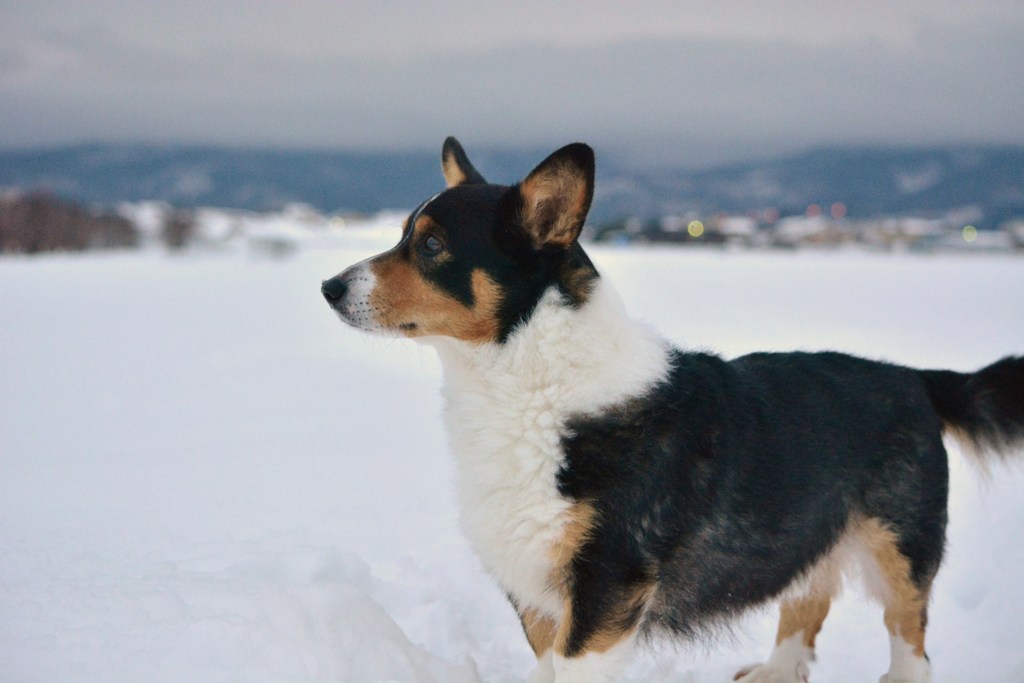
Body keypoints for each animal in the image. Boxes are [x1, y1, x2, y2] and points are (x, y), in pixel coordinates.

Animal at [319, 139, 1024, 683]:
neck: (524, 379)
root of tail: (915, 378)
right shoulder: (537, 592)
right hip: (807, 530)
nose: (328, 288)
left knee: (911, 641)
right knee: (807, 600)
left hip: (900, 546)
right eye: (403, 235)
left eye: (433, 246)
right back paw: (774, 673)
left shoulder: (605, 588)